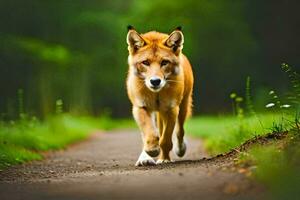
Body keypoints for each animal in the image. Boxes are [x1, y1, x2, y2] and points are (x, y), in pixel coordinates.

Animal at [125, 25, 193, 166]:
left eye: (164, 62)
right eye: (145, 62)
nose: (155, 81)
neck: (157, 94)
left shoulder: (171, 108)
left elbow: (166, 138)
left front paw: (165, 157)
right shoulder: (140, 107)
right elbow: (149, 132)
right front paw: (151, 150)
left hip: (183, 105)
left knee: (180, 130)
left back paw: (179, 149)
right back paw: (145, 157)